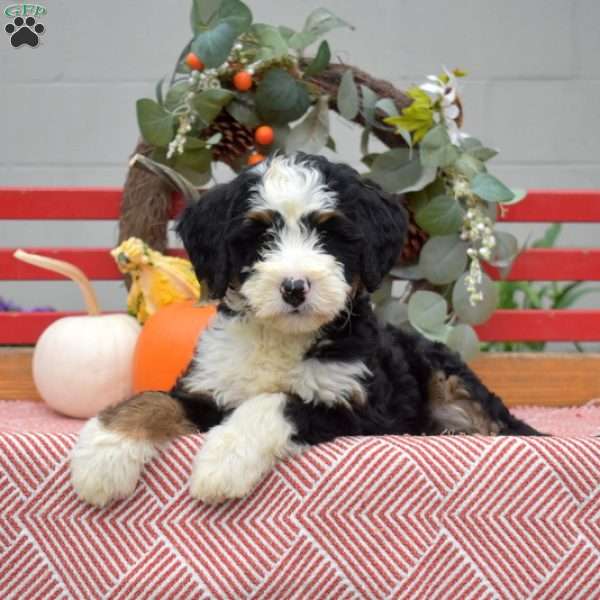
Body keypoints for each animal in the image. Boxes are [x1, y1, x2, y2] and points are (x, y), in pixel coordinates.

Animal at [69, 152, 540, 504]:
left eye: (329, 236)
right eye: (261, 237)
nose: (295, 287)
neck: (280, 336)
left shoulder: (356, 405)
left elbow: (277, 401)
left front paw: (224, 460)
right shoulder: (207, 388)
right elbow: (152, 400)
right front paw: (103, 453)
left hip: (448, 377)